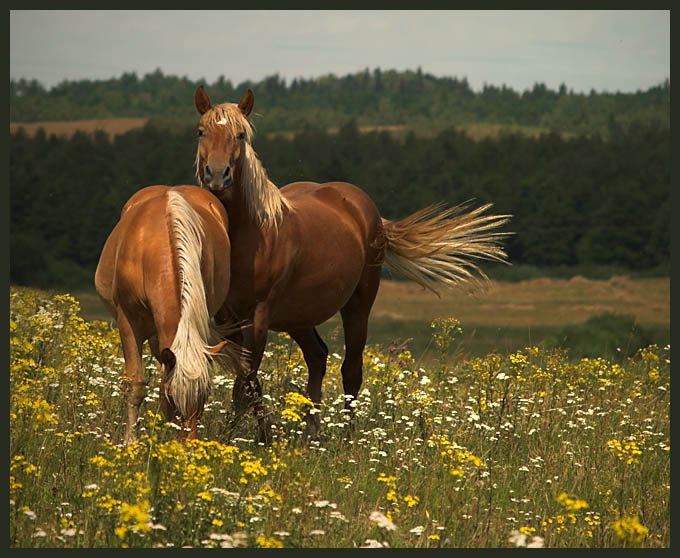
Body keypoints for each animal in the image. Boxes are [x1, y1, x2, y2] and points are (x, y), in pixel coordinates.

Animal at [95, 186, 238, 444]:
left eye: (205, 397)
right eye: (172, 398)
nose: (188, 447)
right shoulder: (127, 322)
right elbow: (136, 385)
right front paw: (130, 441)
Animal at [194, 86, 508, 442]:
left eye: (241, 134)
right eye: (201, 131)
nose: (217, 175)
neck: (252, 233)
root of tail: (366, 209)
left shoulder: (257, 318)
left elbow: (245, 382)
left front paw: (241, 438)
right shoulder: (228, 319)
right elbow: (248, 381)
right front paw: (258, 436)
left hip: (358, 304)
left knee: (351, 369)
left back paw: (348, 436)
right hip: (298, 314)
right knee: (317, 357)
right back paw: (312, 432)